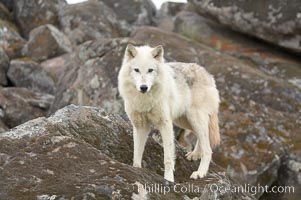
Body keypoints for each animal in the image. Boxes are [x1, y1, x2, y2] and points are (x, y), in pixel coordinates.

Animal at [118, 44, 220, 182]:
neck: (144, 99)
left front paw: (169, 179)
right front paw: (136, 169)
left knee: (208, 149)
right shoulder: (140, 127)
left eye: (150, 70)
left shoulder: (165, 124)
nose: (144, 87)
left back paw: (200, 172)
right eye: (137, 70)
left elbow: (168, 158)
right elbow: (137, 152)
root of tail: (208, 74)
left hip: (194, 119)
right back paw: (195, 154)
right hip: (185, 122)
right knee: (204, 136)